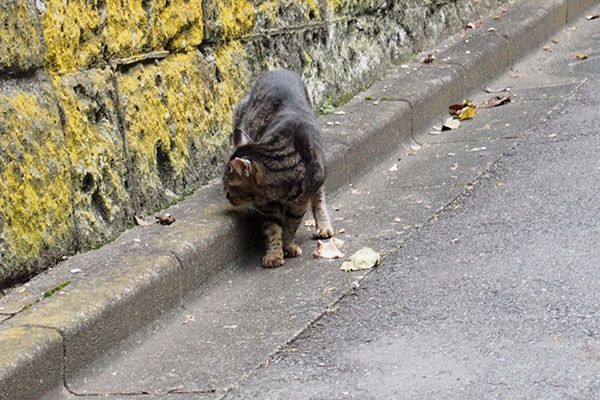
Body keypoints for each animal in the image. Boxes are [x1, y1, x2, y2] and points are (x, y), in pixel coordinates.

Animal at [223, 69, 332, 268]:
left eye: (230, 185)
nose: (226, 196)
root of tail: (278, 70)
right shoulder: (267, 208)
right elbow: (272, 230)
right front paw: (274, 254)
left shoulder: (298, 205)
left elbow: (290, 226)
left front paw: (288, 246)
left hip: (320, 173)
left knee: (319, 197)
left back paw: (323, 226)